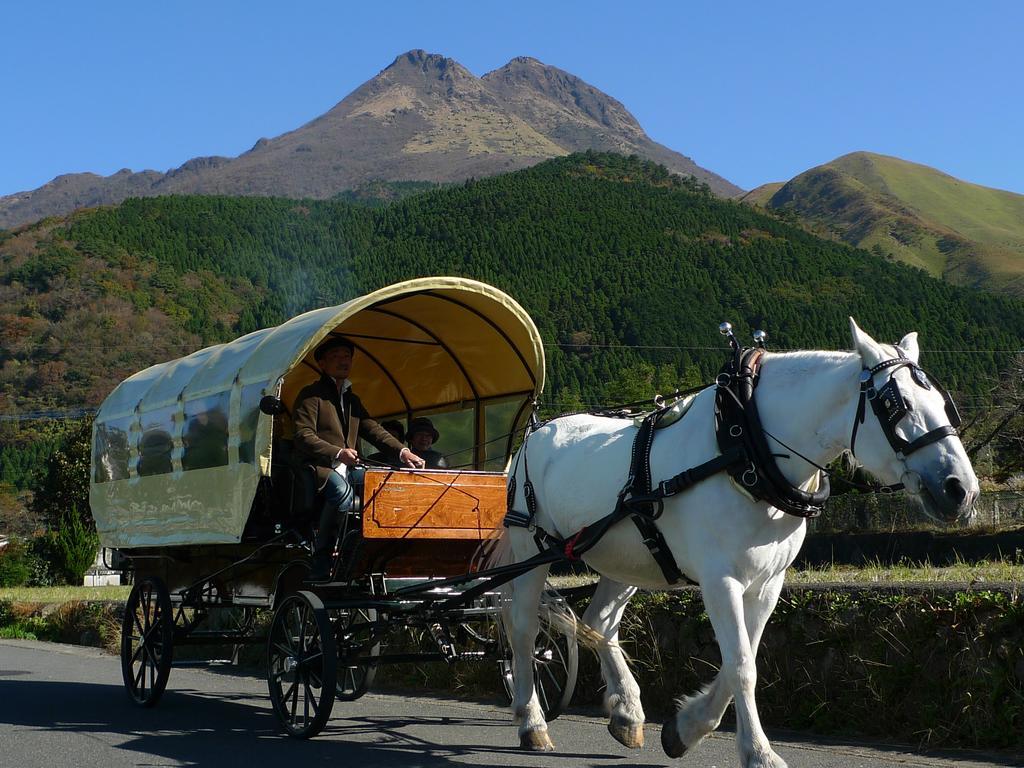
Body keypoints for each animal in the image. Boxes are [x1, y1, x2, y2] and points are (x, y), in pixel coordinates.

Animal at [495, 317, 974, 765]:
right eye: (895, 405)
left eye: (943, 403)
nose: (961, 490)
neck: (746, 449)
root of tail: (535, 433)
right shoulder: (719, 579)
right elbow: (742, 666)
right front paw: (759, 752)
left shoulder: (767, 582)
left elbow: (740, 659)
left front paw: (686, 728)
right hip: (531, 547)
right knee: (523, 628)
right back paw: (532, 722)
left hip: (627, 556)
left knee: (599, 623)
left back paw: (627, 712)